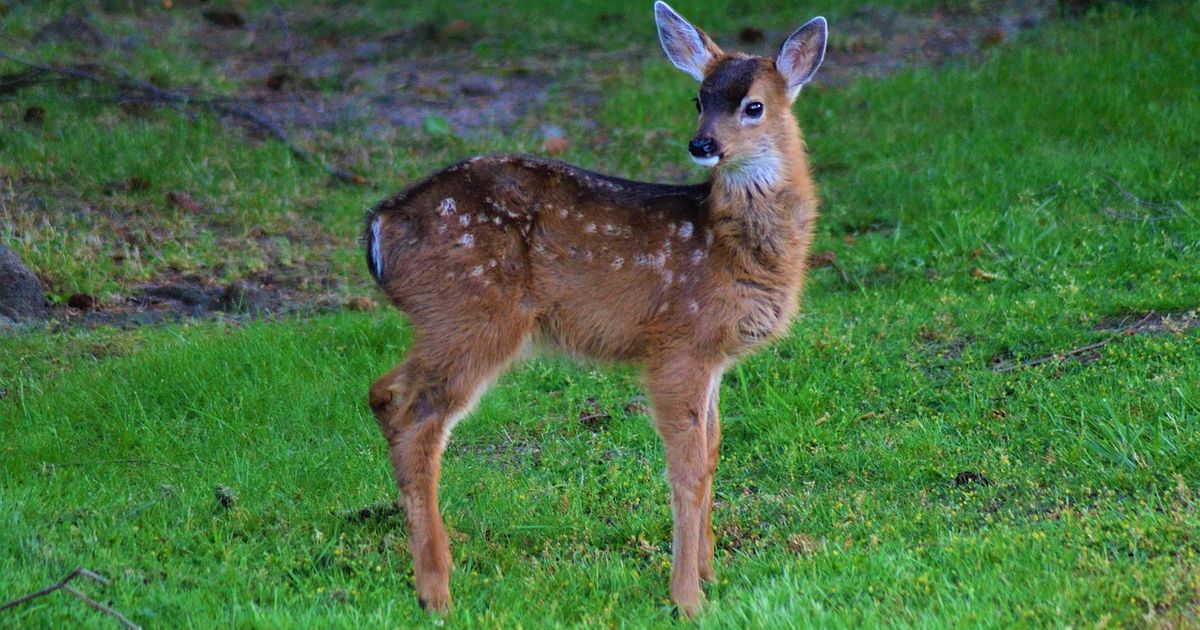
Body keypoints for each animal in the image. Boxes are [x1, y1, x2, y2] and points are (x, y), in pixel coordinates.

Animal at [362, 1, 825, 614]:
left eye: (754, 106)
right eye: (698, 100)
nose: (702, 145)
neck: (730, 247)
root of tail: (380, 226)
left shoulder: (713, 359)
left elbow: (712, 454)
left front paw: (710, 575)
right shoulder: (677, 342)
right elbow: (686, 468)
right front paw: (687, 599)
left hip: (450, 320)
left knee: (383, 392)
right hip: (474, 311)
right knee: (415, 417)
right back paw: (437, 592)